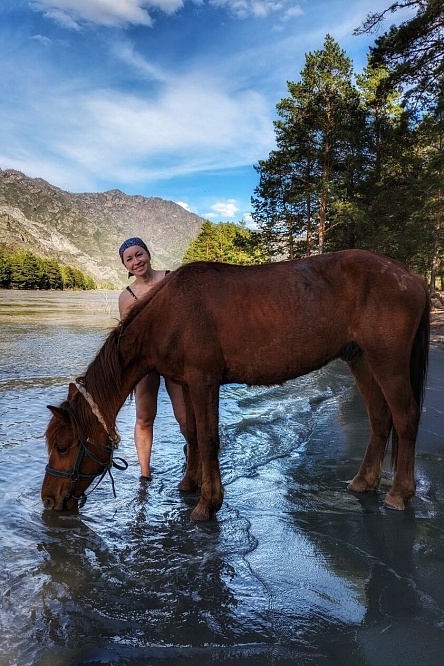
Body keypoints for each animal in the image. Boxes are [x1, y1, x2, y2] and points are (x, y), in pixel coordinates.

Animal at [41, 248, 430, 520]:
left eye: (63, 446)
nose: (48, 499)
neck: (169, 314)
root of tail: (410, 276)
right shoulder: (185, 383)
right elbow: (192, 432)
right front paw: (191, 484)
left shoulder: (204, 381)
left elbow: (208, 437)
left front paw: (208, 504)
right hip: (361, 359)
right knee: (380, 418)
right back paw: (364, 482)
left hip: (388, 362)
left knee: (406, 418)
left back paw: (399, 493)